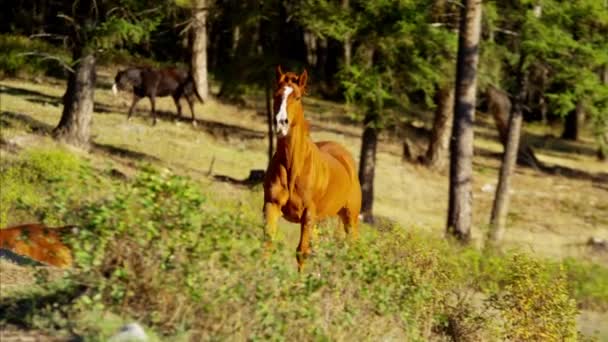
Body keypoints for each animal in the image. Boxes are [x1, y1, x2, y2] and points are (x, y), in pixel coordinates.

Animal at [262, 65, 360, 272]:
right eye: (276, 95)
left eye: (297, 97)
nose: (281, 123)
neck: (293, 167)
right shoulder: (271, 205)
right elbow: (268, 242)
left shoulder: (308, 214)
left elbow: (302, 252)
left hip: (350, 218)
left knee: (352, 246)